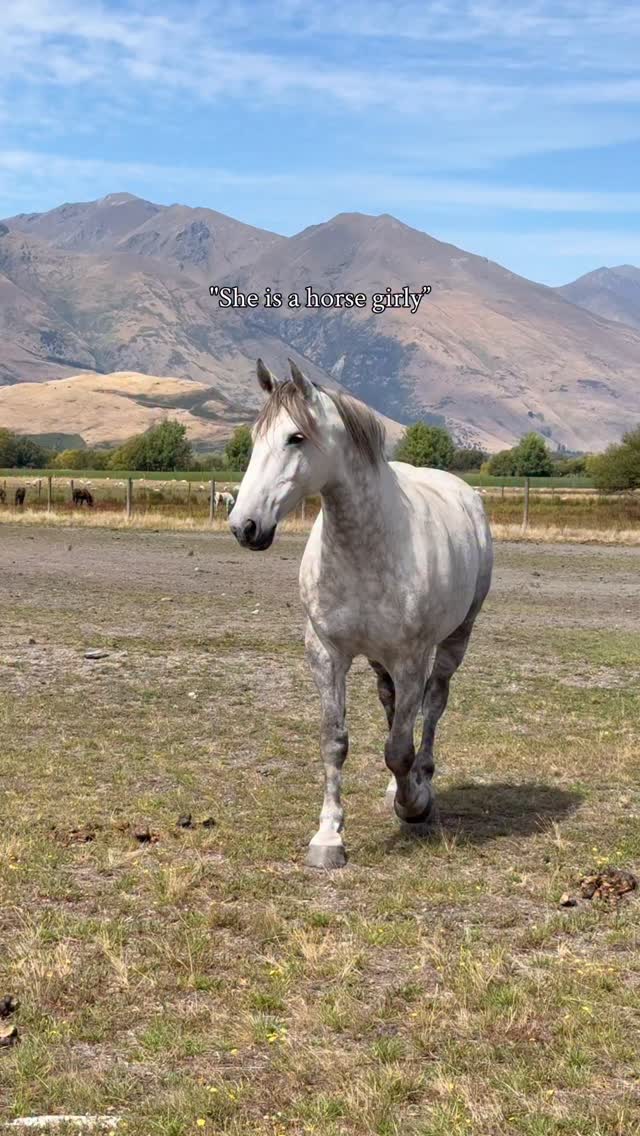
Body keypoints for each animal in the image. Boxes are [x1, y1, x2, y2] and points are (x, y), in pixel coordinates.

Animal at [229, 359, 493, 869]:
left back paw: (420, 782)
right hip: (378, 658)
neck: (365, 548)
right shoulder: (326, 654)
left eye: (295, 437)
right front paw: (329, 836)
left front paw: (413, 804)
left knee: (431, 707)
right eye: (254, 437)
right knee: (393, 707)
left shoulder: (411, 658)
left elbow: (399, 746)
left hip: (455, 640)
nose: (244, 526)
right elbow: (335, 741)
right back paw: (397, 786)